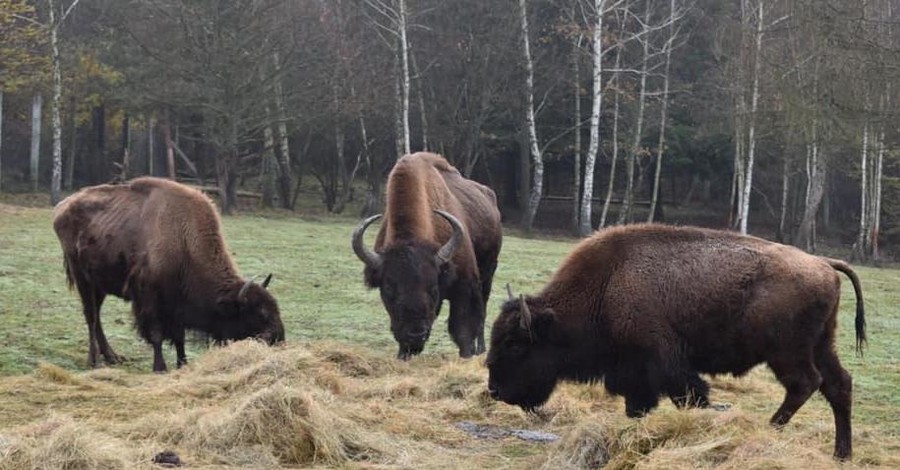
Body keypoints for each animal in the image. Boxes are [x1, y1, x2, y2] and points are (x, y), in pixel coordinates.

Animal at [52, 176, 284, 370]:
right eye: (260, 314)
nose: (279, 339)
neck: (184, 241)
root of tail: (61, 208)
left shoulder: (177, 305)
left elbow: (179, 337)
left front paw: (182, 364)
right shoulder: (150, 299)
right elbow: (157, 334)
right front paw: (160, 367)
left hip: (100, 284)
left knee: (97, 316)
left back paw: (112, 357)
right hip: (83, 279)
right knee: (91, 316)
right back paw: (94, 361)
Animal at [352, 152, 502, 358]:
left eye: (434, 288)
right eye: (389, 288)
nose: (415, 334)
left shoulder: (465, 286)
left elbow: (463, 329)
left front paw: (467, 355)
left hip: (489, 273)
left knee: (483, 311)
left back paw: (481, 350)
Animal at [488, 223, 868, 458]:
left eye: (516, 344)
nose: (494, 389)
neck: (606, 286)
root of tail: (823, 263)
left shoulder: (664, 365)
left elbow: (691, 396)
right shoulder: (636, 375)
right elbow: (638, 406)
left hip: (787, 351)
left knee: (805, 384)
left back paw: (771, 429)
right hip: (822, 344)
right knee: (838, 384)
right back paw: (842, 454)